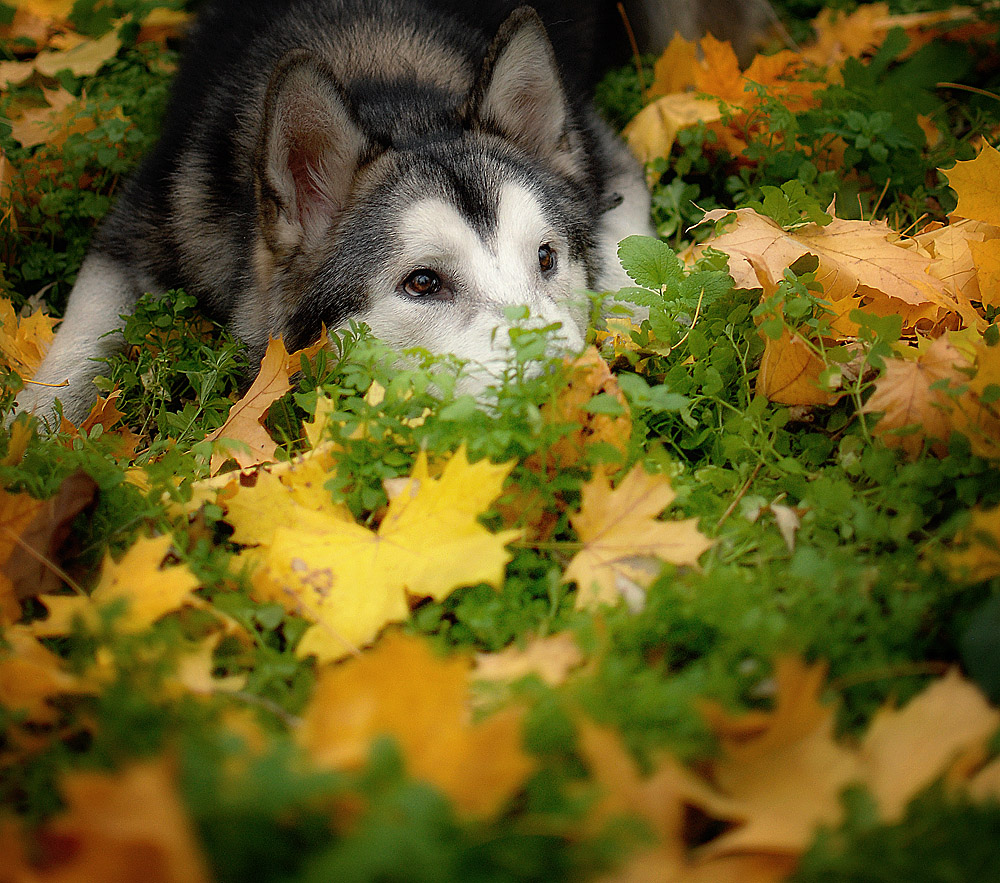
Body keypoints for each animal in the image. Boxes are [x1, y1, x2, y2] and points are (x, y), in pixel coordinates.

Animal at [15, 0, 760, 428]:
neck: (388, 86)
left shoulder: (606, 150)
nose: (579, 394)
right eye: (422, 283)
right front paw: (33, 446)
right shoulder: (140, 222)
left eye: (547, 257)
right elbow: (74, 346)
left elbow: (630, 261)